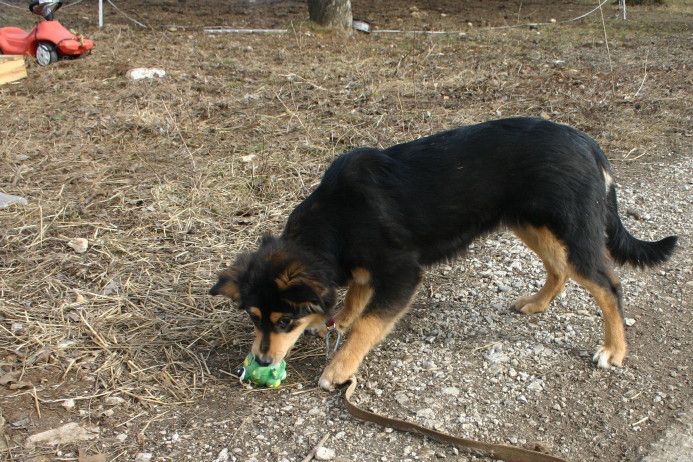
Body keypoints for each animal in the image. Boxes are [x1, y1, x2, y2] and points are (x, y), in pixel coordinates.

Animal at [209, 116, 676, 390]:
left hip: (571, 232)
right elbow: (356, 304)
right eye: (254, 319)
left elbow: (369, 324)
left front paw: (338, 368)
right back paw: (537, 303)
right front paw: (336, 322)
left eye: (284, 321)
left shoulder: (401, 273)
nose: (261, 360)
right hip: (532, 224)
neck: (336, 218)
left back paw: (614, 349)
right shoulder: (366, 272)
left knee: (609, 285)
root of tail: (589, 144)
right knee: (559, 270)